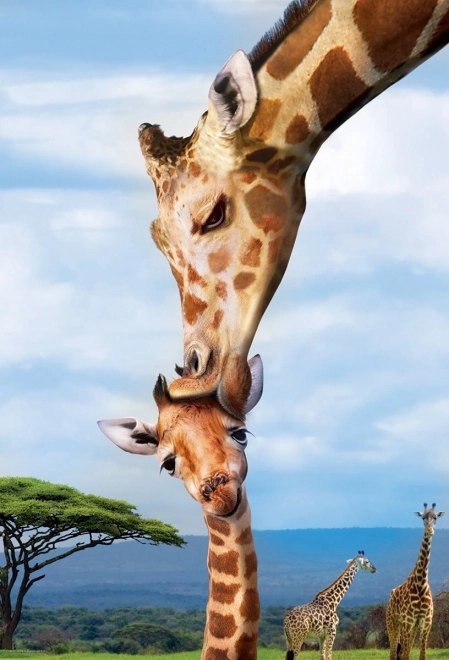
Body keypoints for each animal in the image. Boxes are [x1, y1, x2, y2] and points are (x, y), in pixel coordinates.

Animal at [386, 503, 445, 660]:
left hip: (411, 628)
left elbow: (422, 656)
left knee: (400, 653)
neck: (421, 582)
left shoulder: (426, 622)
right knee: (394, 654)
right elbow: (405, 655)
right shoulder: (408, 621)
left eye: (435, 517)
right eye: (423, 517)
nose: (430, 530)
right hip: (393, 623)